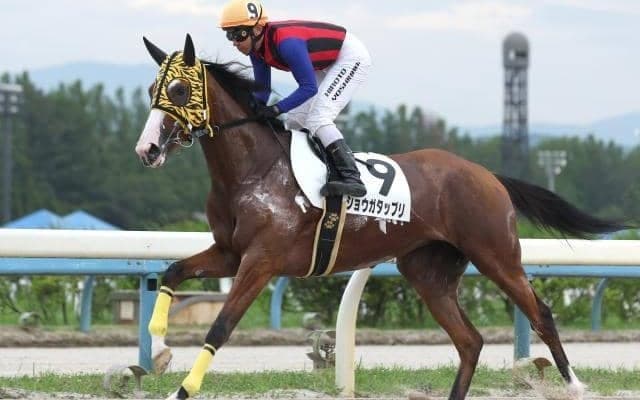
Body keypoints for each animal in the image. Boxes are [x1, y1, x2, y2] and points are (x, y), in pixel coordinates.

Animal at [134, 34, 628, 400]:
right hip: (427, 272)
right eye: (152, 91)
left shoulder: (262, 261)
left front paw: (182, 388)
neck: (253, 169)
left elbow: (220, 326)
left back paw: (576, 384)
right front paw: (158, 340)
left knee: (540, 312)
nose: (148, 149)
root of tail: (488, 175)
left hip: (497, 256)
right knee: (470, 340)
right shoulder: (230, 253)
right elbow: (172, 271)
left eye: (179, 90)